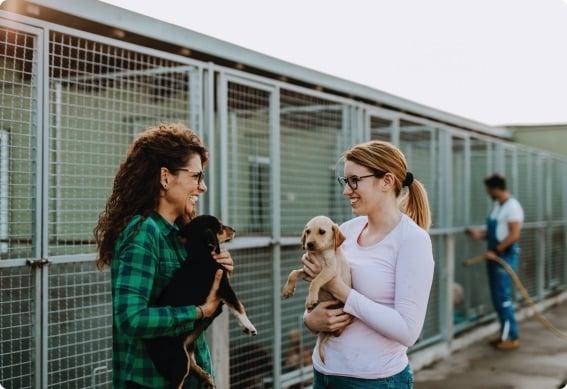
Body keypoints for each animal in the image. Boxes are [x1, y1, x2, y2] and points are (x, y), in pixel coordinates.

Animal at [144, 215, 258, 388]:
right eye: (219, 227)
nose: (234, 230)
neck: (201, 251)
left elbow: (235, 306)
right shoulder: (224, 286)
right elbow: (239, 305)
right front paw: (249, 326)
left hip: (189, 345)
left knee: (191, 362)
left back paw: (206, 377)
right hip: (179, 361)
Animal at [282, 214, 352, 362]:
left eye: (322, 232)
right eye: (307, 231)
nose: (309, 244)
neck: (320, 253)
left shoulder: (329, 270)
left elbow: (316, 281)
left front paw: (311, 299)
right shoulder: (307, 270)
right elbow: (293, 273)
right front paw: (287, 290)